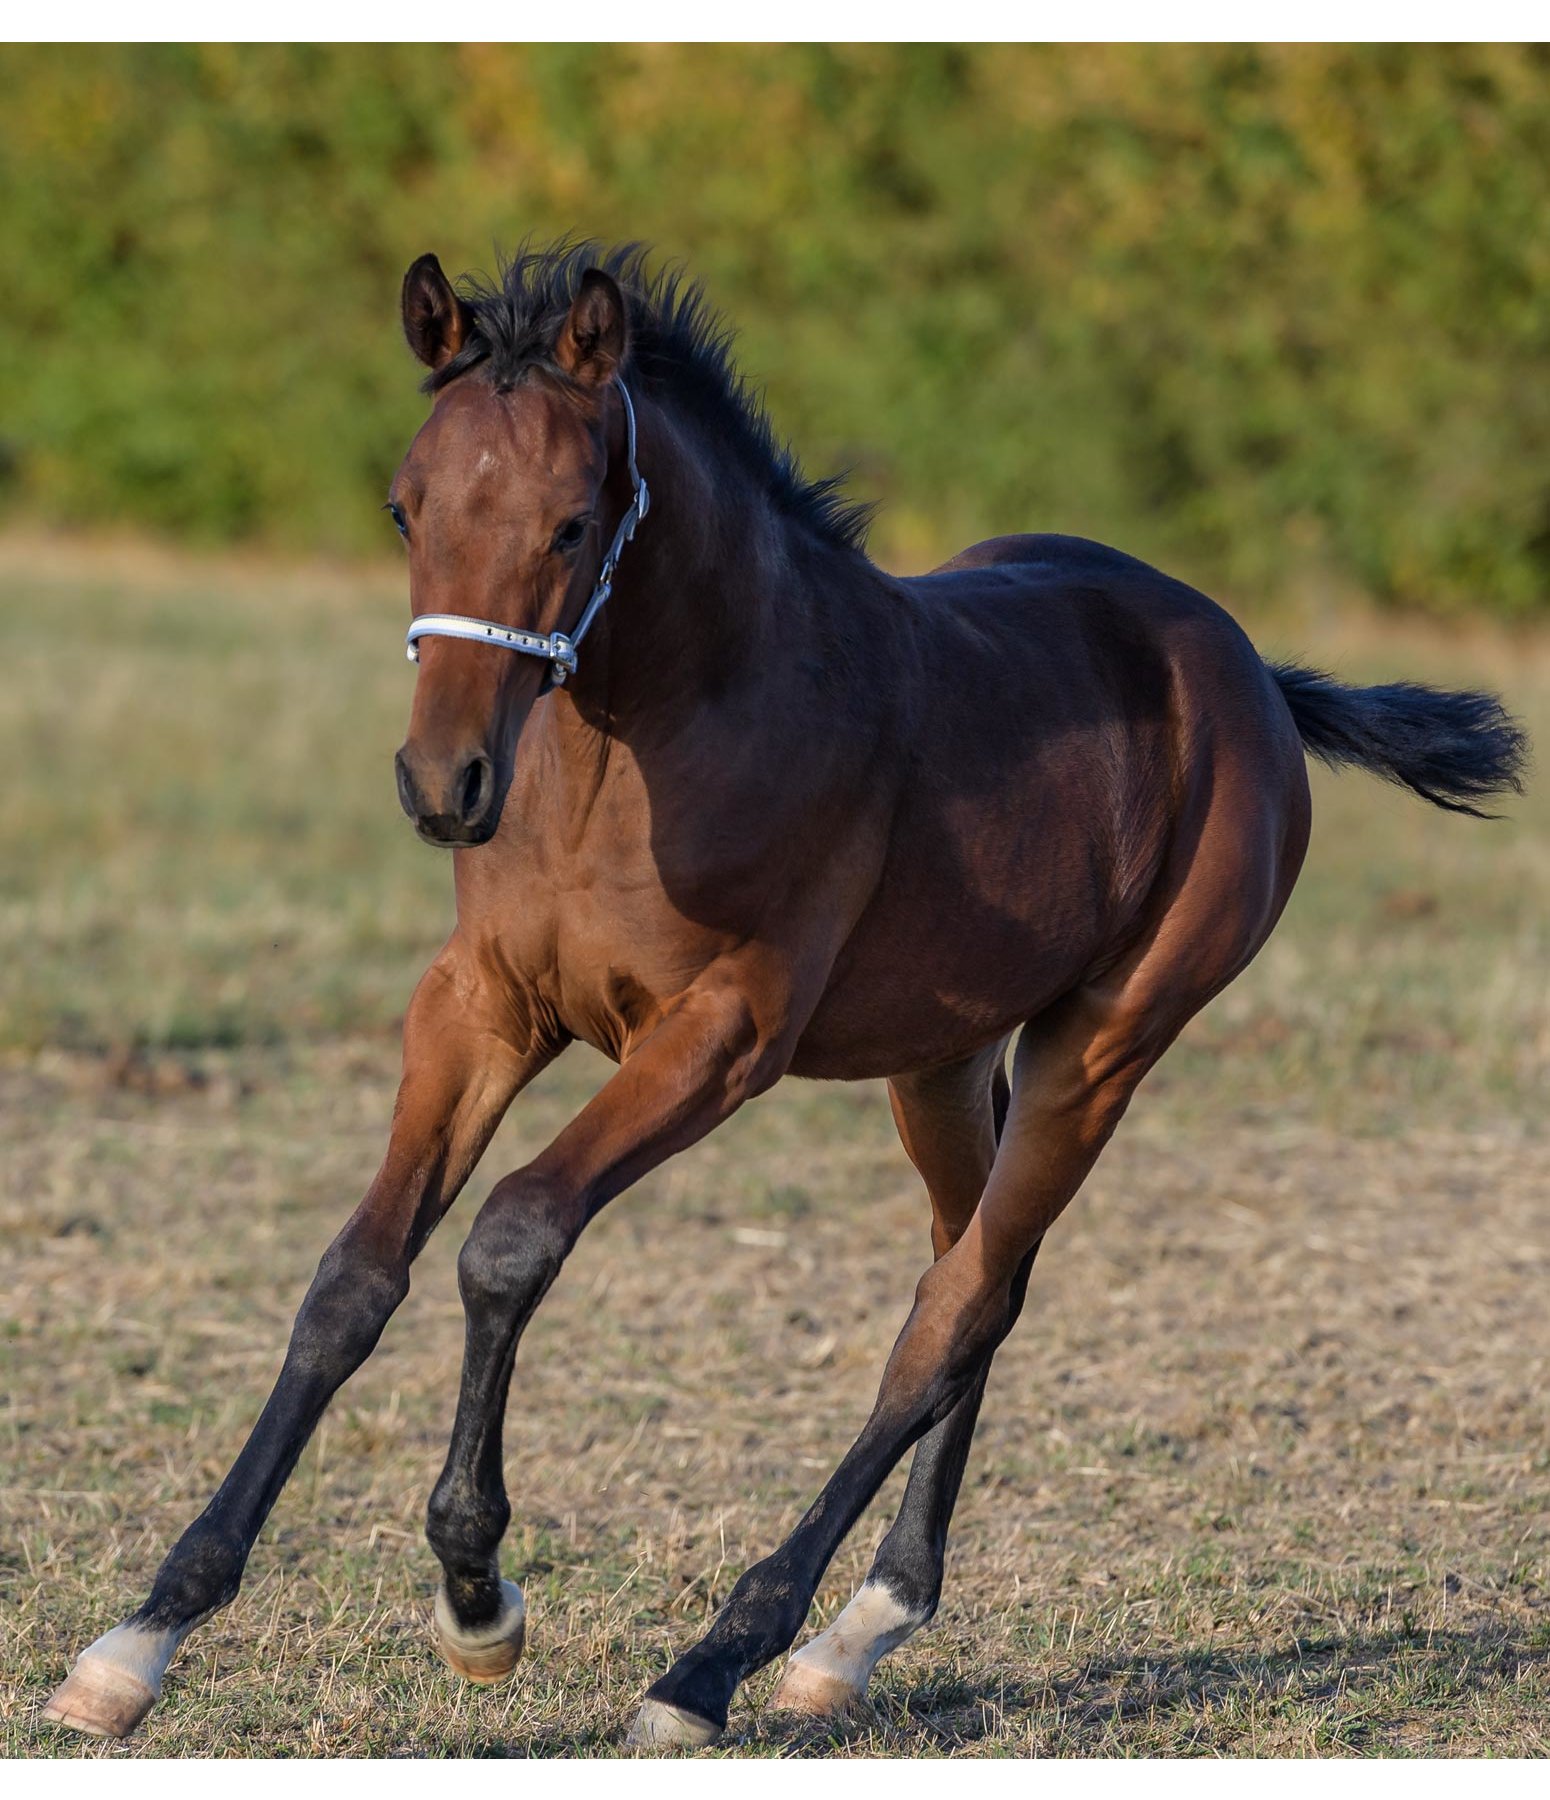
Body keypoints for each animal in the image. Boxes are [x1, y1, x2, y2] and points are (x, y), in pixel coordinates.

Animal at [44, 242, 1527, 1748]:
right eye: (406, 506)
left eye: (571, 524)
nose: (442, 784)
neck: (639, 749)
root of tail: (1250, 677)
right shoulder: (479, 1008)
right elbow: (355, 1274)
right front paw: (139, 1640)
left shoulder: (720, 1034)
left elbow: (509, 1239)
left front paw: (477, 1598)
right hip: (941, 1059)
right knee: (980, 1277)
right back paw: (857, 1633)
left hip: (1103, 1043)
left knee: (949, 1314)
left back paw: (716, 1663)